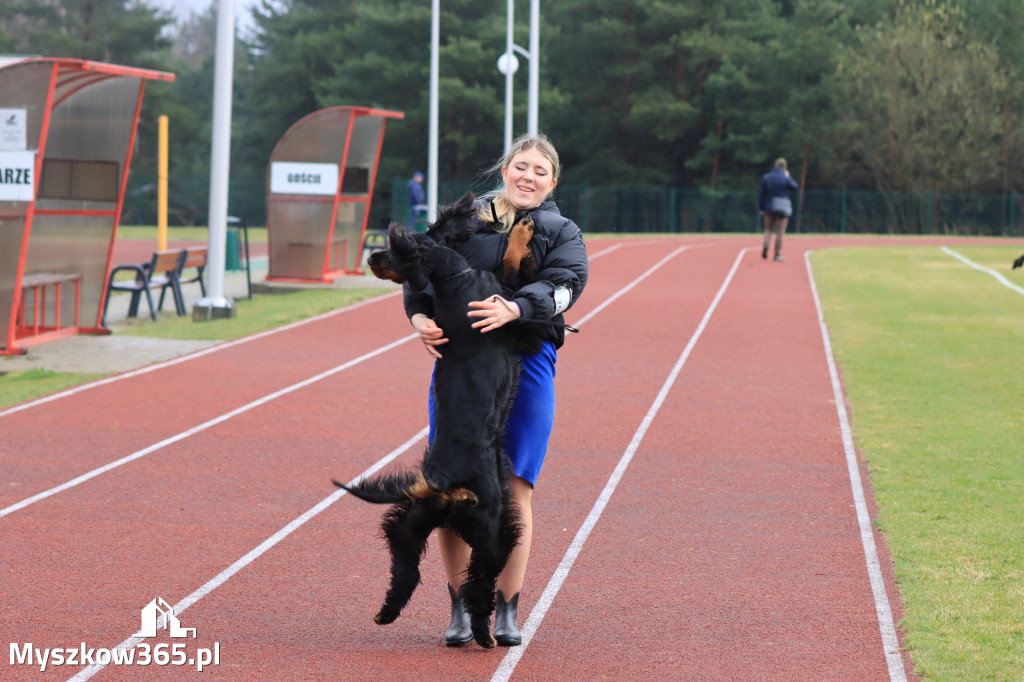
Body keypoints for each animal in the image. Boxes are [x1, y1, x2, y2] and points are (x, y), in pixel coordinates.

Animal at [335, 193, 532, 647]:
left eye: (392, 252)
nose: (371, 257)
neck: (455, 281)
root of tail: (441, 482)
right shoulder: (508, 306)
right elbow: (513, 262)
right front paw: (523, 231)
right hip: (492, 525)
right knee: (480, 580)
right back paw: (484, 633)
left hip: (412, 520)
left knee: (404, 564)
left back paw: (386, 612)